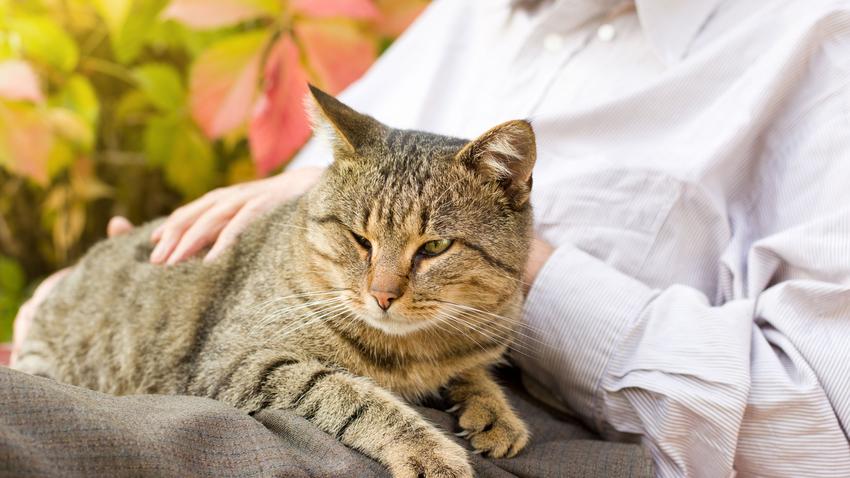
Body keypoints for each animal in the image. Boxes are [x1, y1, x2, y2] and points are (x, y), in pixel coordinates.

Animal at [13, 87, 532, 478]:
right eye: (360, 239)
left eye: (435, 247)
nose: (383, 295)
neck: (415, 351)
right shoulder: (238, 362)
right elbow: (354, 397)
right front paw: (431, 451)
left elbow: (474, 372)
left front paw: (494, 411)